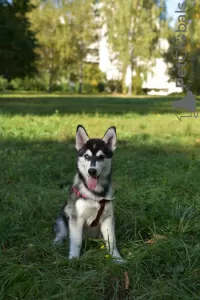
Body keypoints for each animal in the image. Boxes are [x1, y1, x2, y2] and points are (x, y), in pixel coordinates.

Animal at [54, 124, 123, 262]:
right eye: (86, 156)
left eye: (101, 157)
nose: (92, 171)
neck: (95, 195)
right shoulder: (76, 219)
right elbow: (76, 241)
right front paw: (73, 259)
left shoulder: (108, 218)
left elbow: (111, 241)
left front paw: (117, 259)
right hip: (63, 217)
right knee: (61, 232)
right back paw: (57, 242)